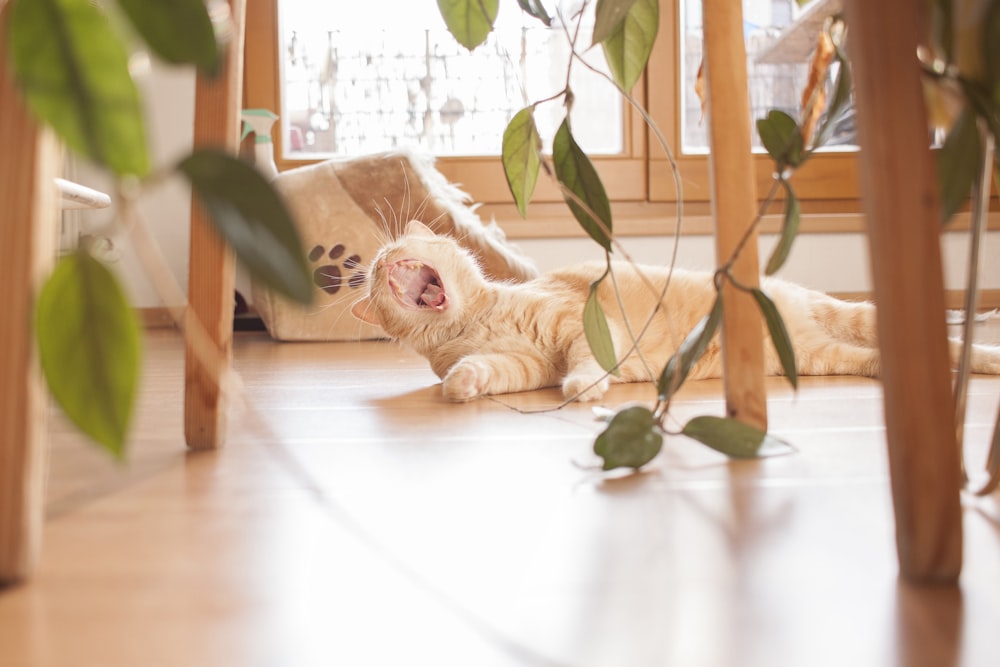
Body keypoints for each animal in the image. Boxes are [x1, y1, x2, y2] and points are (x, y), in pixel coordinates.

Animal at [352, 222, 1000, 404]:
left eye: (395, 250)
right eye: (376, 277)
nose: (381, 263)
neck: (474, 318)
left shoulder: (578, 327)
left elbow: (586, 362)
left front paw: (586, 387)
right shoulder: (521, 365)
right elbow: (484, 372)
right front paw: (460, 387)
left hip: (846, 323)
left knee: (952, 343)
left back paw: (985, 358)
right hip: (830, 358)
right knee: (888, 358)